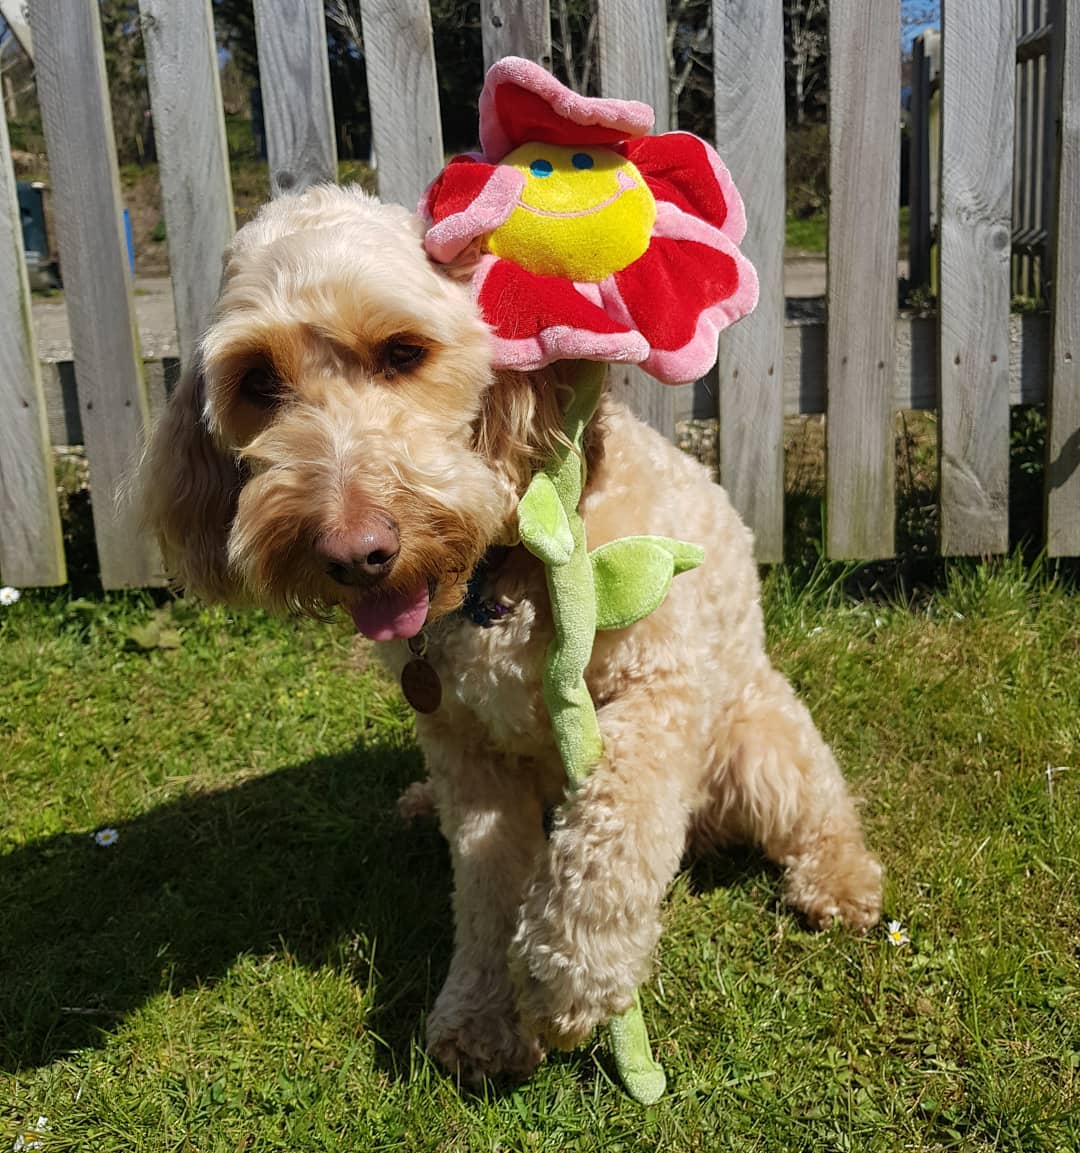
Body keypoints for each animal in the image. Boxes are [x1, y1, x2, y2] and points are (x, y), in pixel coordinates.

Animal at [142, 183, 882, 1083]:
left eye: (402, 351)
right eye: (257, 379)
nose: (353, 553)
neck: (499, 571)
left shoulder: (655, 690)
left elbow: (615, 826)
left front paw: (571, 977)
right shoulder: (465, 744)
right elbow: (488, 880)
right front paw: (483, 1013)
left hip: (762, 744)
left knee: (820, 811)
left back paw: (841, 881)